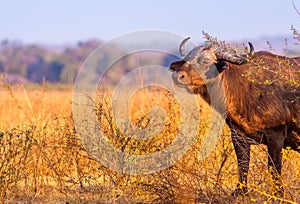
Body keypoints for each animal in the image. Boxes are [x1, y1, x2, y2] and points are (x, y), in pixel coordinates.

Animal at [170, 37, 300, 195]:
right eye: (187, 59)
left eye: (205, 61)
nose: (178, 76)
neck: (244, 89)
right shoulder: (238, 137)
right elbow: (242, 169)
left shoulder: (276, 137)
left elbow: (274, 171)